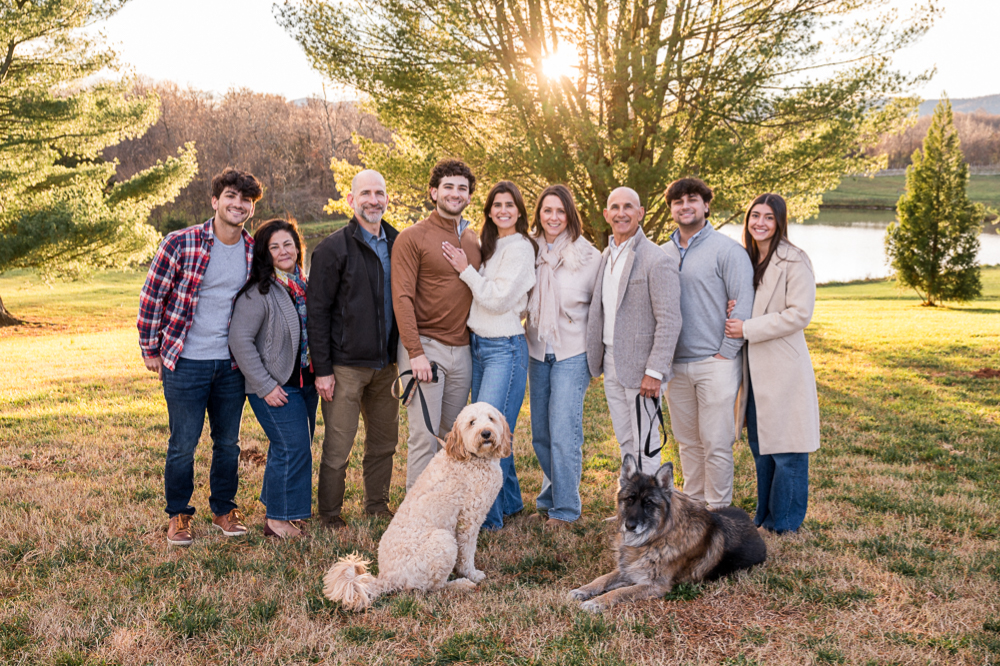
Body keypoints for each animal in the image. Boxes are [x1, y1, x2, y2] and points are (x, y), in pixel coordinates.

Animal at [322, 396, 508, 608]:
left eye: (491, 418)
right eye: (472, 422)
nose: (486, 433)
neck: (472, 458)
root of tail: (387, 577)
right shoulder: (469, 519)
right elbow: (467, 553)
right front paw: (472, 574)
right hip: (443, 541)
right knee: (431, 588)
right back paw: (460, 584)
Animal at [572, 454, 764, 608]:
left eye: (648, 503)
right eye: (629, 499)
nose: (629, 526)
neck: (657, 537)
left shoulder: (655, 585)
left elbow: (618, 592)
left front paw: (596, 602)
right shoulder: (629, 570)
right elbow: (602, 579)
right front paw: (583, 590)